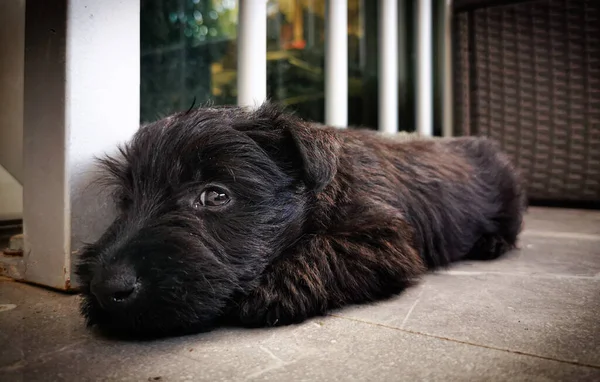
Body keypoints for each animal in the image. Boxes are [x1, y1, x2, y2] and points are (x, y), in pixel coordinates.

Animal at [74, 101, 524, 338]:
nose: (105, 288)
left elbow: (328, 246)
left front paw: (277, 287)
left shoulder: (384, 237)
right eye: (127, 199)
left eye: (216, 195)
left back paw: (492, 242)